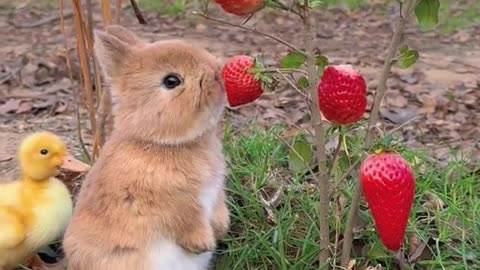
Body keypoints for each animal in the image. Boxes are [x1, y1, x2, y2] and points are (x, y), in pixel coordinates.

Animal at [62, 25, 232, 270]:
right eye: (171, 81)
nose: (218, 73)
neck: (159, 142)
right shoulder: (172, 204)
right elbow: (186, 220)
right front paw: (203, 243)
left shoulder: (215, 191)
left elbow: (218, 206)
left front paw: (221, 228)